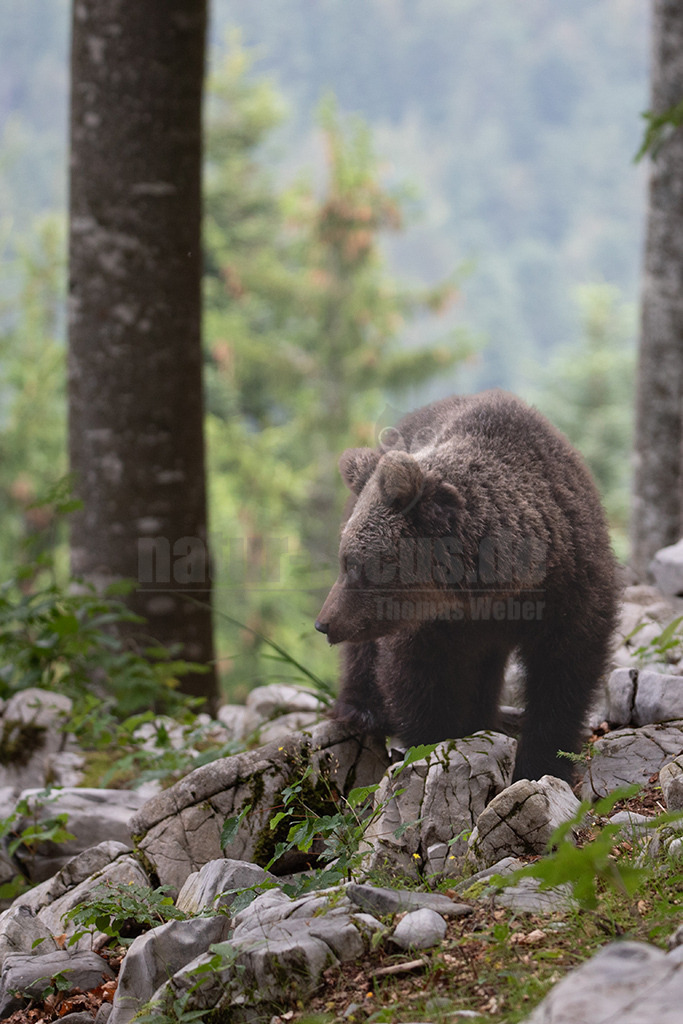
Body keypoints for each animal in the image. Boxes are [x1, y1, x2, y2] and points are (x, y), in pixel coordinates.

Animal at [315, 390, 619, 782]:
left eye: (354, 563)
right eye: (344, 559)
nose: (324, 622)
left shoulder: (571, 583)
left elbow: (564, 673)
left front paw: (541, 763)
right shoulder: (429, 624)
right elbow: (420, 680)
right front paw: (434, 742)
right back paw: (361, 710)